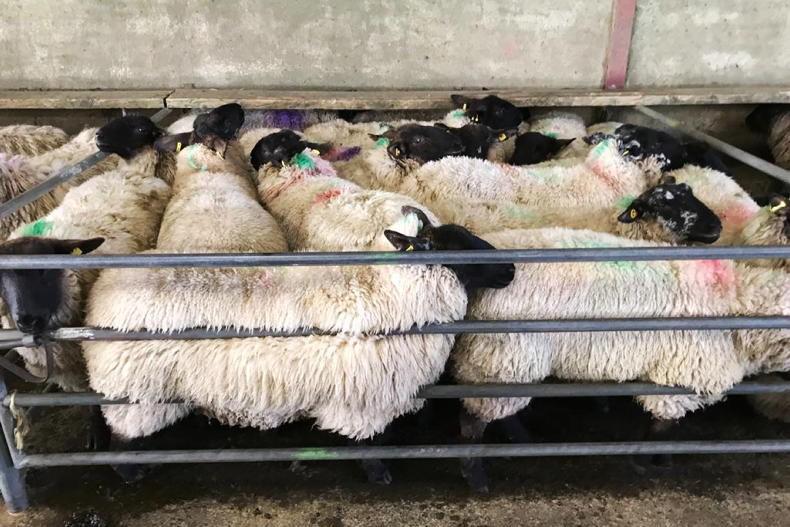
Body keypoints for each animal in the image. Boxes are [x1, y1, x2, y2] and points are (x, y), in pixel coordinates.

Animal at [447, 226, 789, 490]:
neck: (735, 305)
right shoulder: (681, 377)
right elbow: (662, 426)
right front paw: (646, 460)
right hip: (503, 356)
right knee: (474, 419)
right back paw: (475, 474)